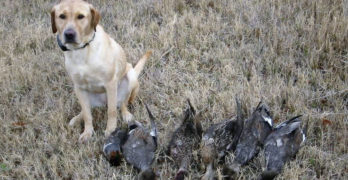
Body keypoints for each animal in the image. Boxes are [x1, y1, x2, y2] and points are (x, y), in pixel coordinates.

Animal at [51, 0, 152, 143]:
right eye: (62, 16)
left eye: (81, 16)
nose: (69, 34)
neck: (82, 50)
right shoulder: (79, 87)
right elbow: (87, 114)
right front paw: (87, 132)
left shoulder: (110, 84)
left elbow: (112, 111)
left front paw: (110, 130)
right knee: (86, 109)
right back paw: (76, 118)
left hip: (130, 77)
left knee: (123, 103)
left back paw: (126, 115)